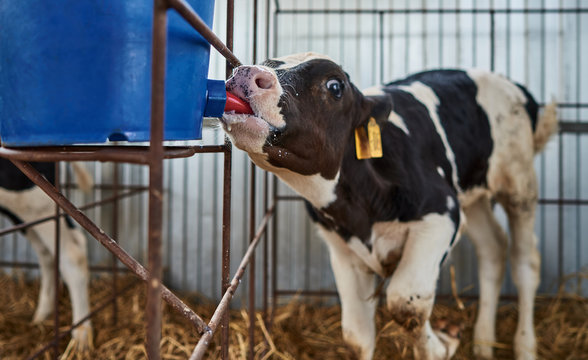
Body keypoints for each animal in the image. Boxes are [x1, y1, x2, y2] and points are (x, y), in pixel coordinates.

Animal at [223, 52, 560, 358]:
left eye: (335, 85)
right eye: (267, 61)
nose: (246, 72)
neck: (359, 209)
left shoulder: (441, 215)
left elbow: (406, 301)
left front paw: (444, 343)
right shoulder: (341, 248)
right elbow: (357, 335)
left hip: (519, 183)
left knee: (525, 262)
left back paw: (525, 347)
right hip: (472, 195)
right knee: (493, 247)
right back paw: (483, 344)